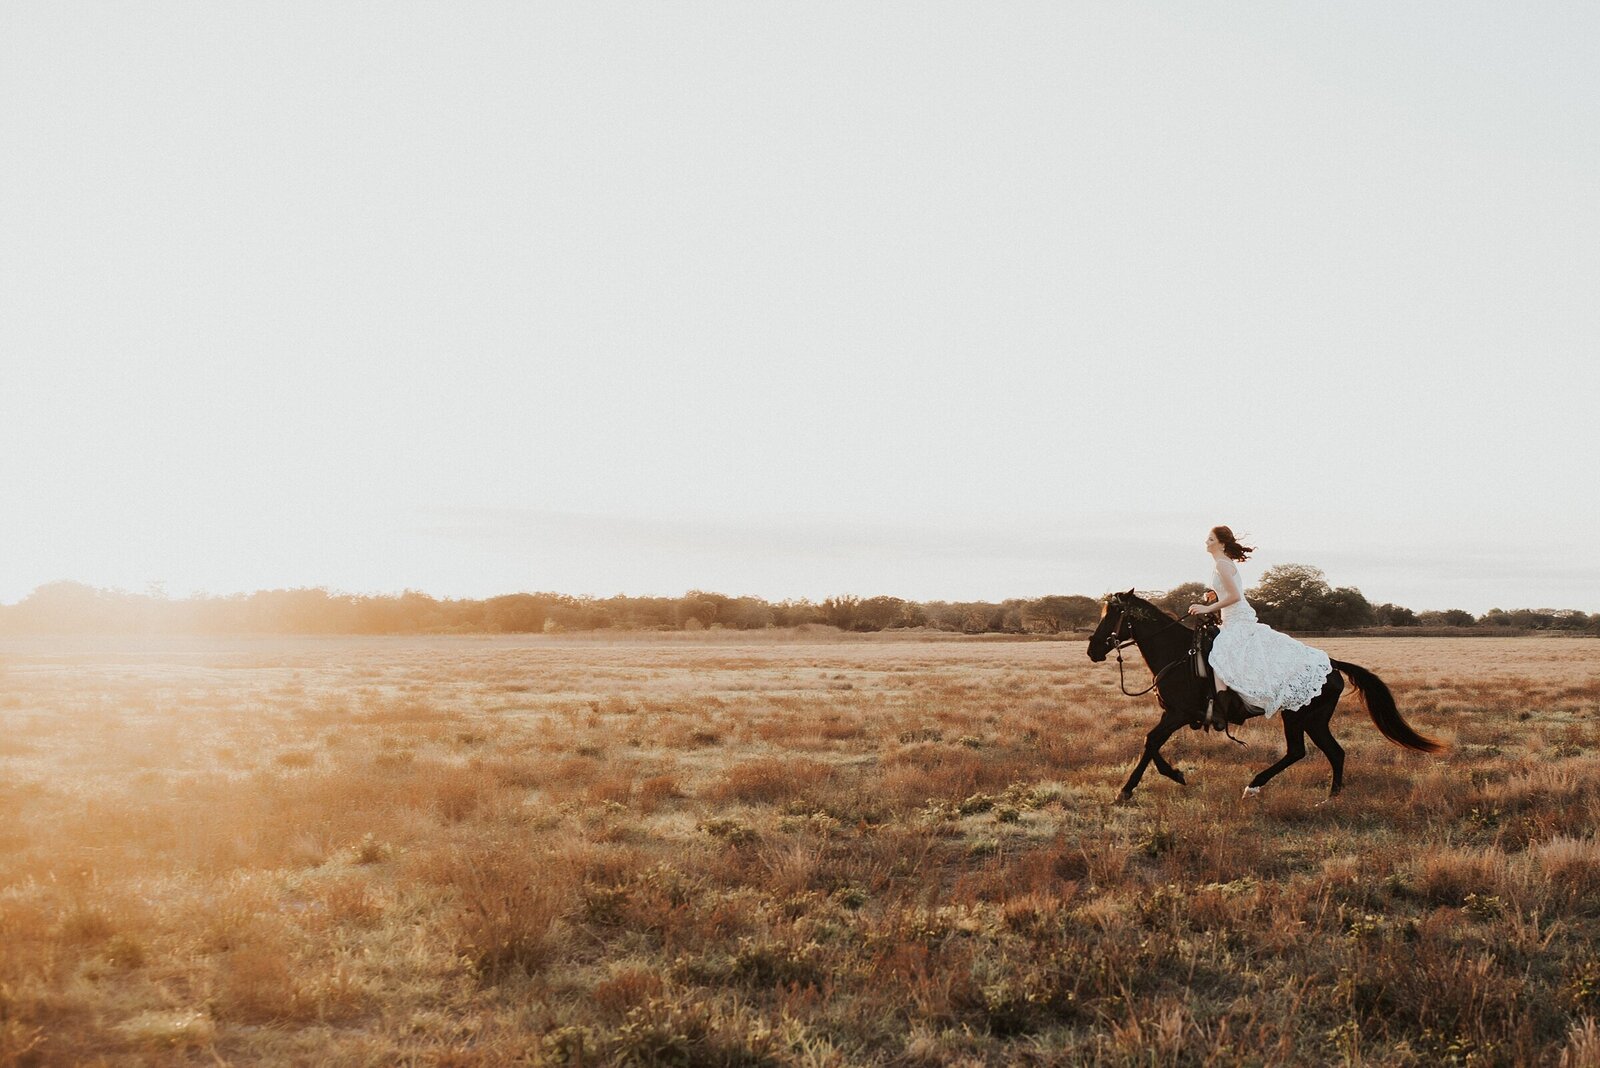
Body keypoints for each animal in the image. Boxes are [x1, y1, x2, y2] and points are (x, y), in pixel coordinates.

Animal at [1081, 591, 1446, 799]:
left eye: (1112, 615)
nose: (1092, 650)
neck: (1179, 654)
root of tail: (1330, 664)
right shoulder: (1171, 713)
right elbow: (1152, 743)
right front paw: (1173, 775)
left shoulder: (1178, 714)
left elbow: (1151, 742)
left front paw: (1127, 790)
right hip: (1313, 720)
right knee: (1334, 752)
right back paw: (1331, 796)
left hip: (1300, 716)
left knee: (1300, 751)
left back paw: (1256, 784)